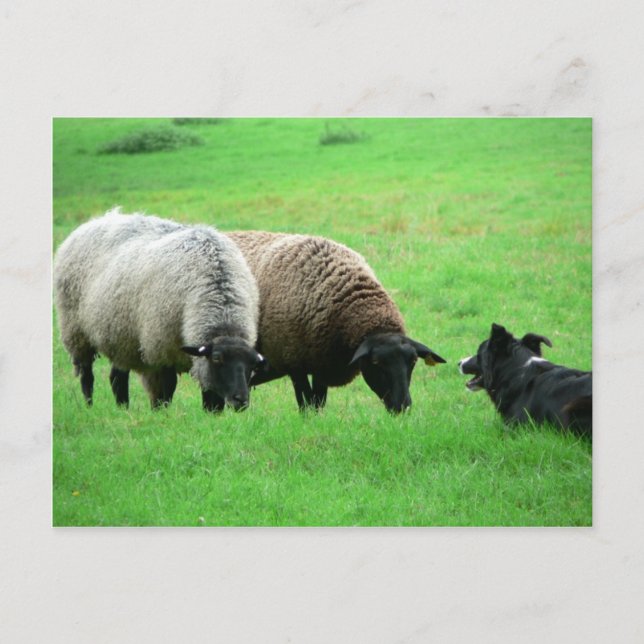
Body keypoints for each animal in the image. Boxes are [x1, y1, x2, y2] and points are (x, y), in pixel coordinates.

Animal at [54, 210, 266, 411]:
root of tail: (96, 220)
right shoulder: (159, 352)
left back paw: (123, 410)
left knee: (117, 378)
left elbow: (211, 397)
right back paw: (89, 407)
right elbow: (164, 390)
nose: (241, 401)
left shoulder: (199, 360)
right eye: (217, 358)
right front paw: (161, 414)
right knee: (87, 376)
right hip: (76, 331)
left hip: (120, 336)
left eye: (253, 365)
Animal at [225, 231, 446, 413]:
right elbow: (306, 405)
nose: (402, 407)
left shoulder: (321, 364)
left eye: (413, 361)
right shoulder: (293, 362)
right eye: (376, 362)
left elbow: (318, 404)